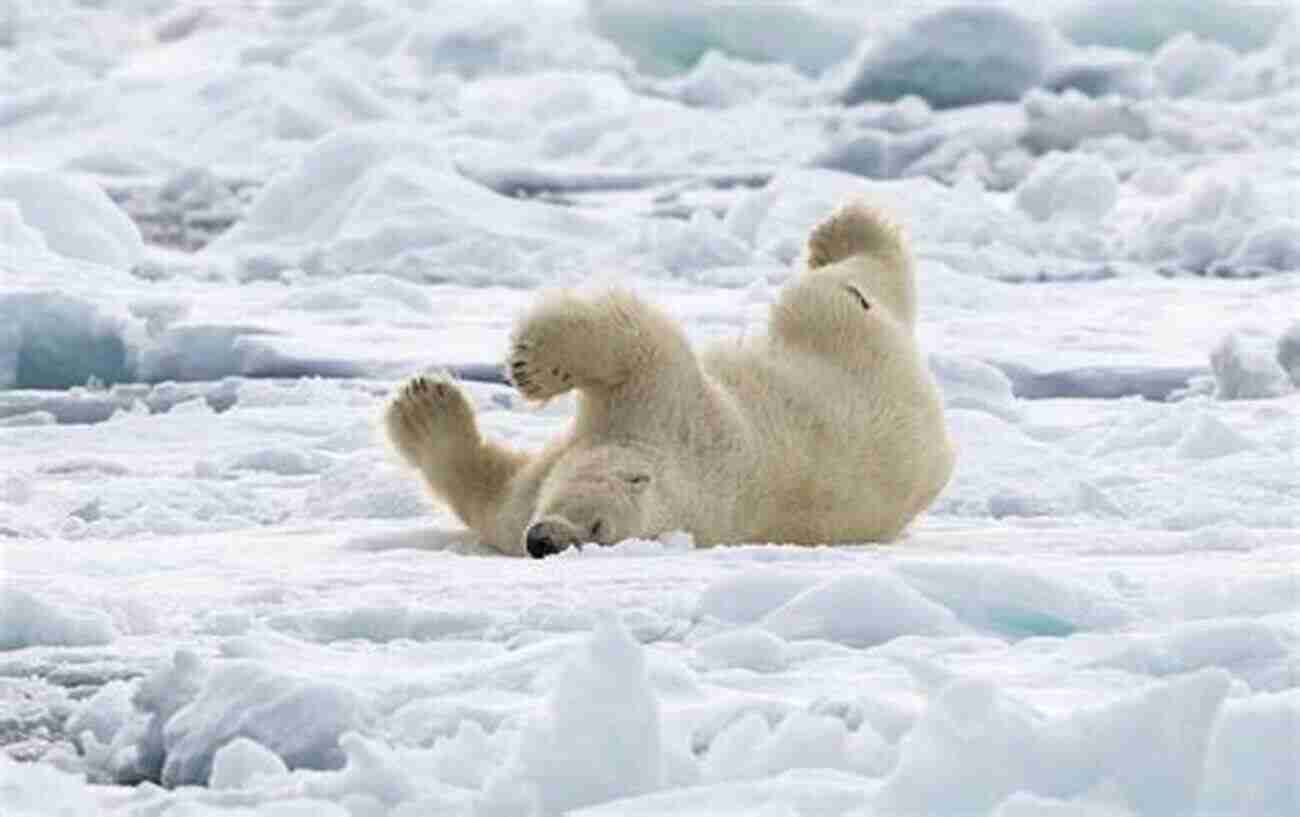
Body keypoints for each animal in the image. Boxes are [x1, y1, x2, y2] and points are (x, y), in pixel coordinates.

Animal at [384, 199, 956, 554]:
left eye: (599, 532)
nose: (543, 545)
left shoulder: (673, 415)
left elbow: (643, 344)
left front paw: (432, 401)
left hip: (850, 348)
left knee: (837, 289)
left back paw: (846, 232)